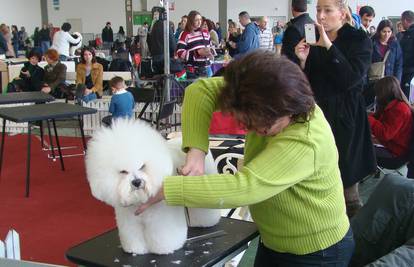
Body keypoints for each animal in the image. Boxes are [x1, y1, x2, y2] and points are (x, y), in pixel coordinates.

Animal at [85, 120, 223, 255]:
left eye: (142, 166)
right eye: (123, 171)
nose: (136, 182)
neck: (139, 200)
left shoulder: (160, 219)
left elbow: (161, 235)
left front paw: (163, 249)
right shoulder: (129, 220)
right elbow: (132, 235)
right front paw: (136, 249)